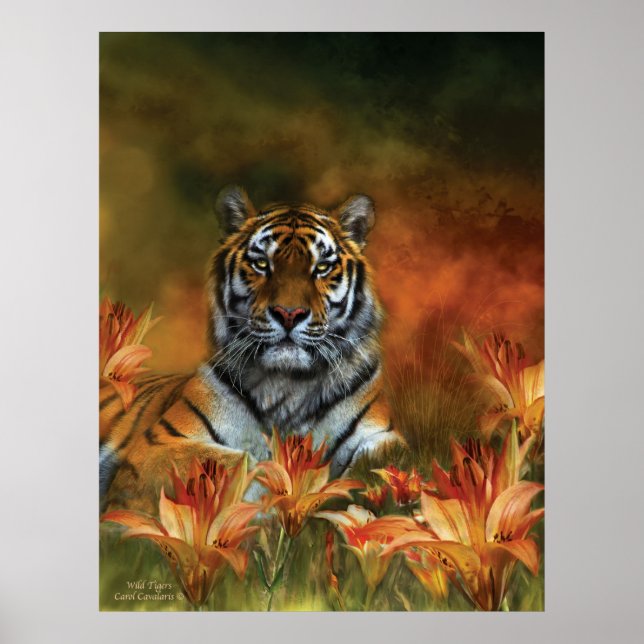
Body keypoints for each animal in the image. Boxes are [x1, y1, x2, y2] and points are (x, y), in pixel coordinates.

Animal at [100, 186, 403, 513]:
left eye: (322, 268)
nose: (289, 313)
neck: (289, 384)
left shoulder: (383, 436)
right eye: (261, 265)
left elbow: (378, 464)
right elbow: (247, 463)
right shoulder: (161, 443)